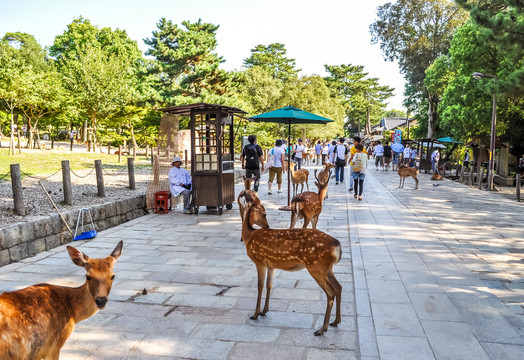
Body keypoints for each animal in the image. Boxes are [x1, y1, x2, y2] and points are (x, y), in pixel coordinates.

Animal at [241, 197, 342, 334]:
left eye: (265, 214)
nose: (268, 226)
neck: (249, 236)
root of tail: (337, 246)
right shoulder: (271, 265)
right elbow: (269, 285)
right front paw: (264, 311)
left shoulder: (259, 260)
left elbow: (260, 286)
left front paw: (255, 314)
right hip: (327, 268)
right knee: (339, 287)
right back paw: (335, 321)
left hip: (316, 267)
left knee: (331, 292)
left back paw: (322, 329)